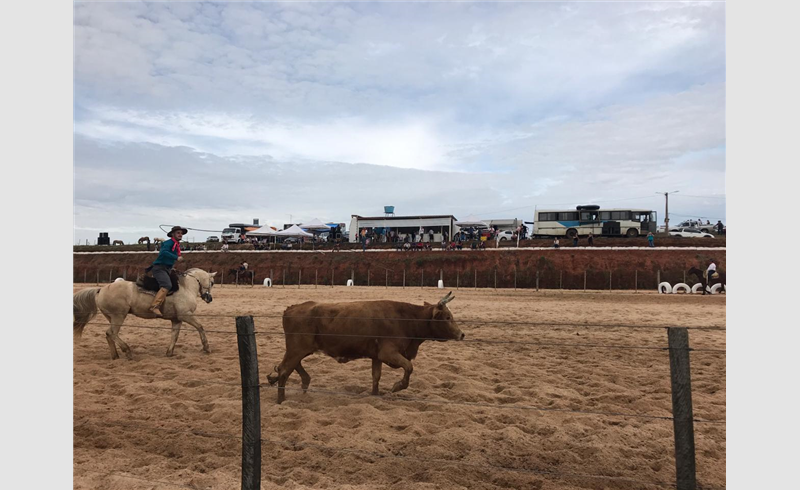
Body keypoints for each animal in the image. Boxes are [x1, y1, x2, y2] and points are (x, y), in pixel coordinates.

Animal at [74, 268, 217, 360]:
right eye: (212, 282)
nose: (209, 298)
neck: (185, 287)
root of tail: (101, 289)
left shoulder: (177, 319)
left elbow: (174, 336)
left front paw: (169, 353)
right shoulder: (186, 315)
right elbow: (200, 327)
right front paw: (207, 348)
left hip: (112, 317)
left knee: (110, 335)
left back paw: (115, 356)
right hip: (119, 316)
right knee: (111, 333)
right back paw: (128, 352)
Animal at [268, 290, 462, 402]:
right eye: (447, 317)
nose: (462, 334)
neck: (405, 318)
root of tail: (291, 308)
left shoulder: (376, 356)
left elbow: (376, 376)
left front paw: (375, 395)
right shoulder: (388, 353)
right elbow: (409, 367)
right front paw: (397, 386)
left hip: (299, 349)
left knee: (287, 366)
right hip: (297, 348)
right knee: (284, 370)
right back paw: (281, 400)